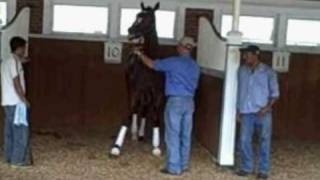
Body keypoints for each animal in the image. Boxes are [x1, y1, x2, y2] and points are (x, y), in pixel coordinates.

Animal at [110, 2, 165, 157]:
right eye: (137, 16)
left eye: (148, 19)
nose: (131, 31)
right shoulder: (135, 91)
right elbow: (129, 112)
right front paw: (117, 146)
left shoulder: (157, 93)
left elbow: (155, 116)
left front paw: (156, 147)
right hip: (132, 88)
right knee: (135, 109)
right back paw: (135, 133)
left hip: (147, 94)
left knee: (144, 109)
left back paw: (140, 134)